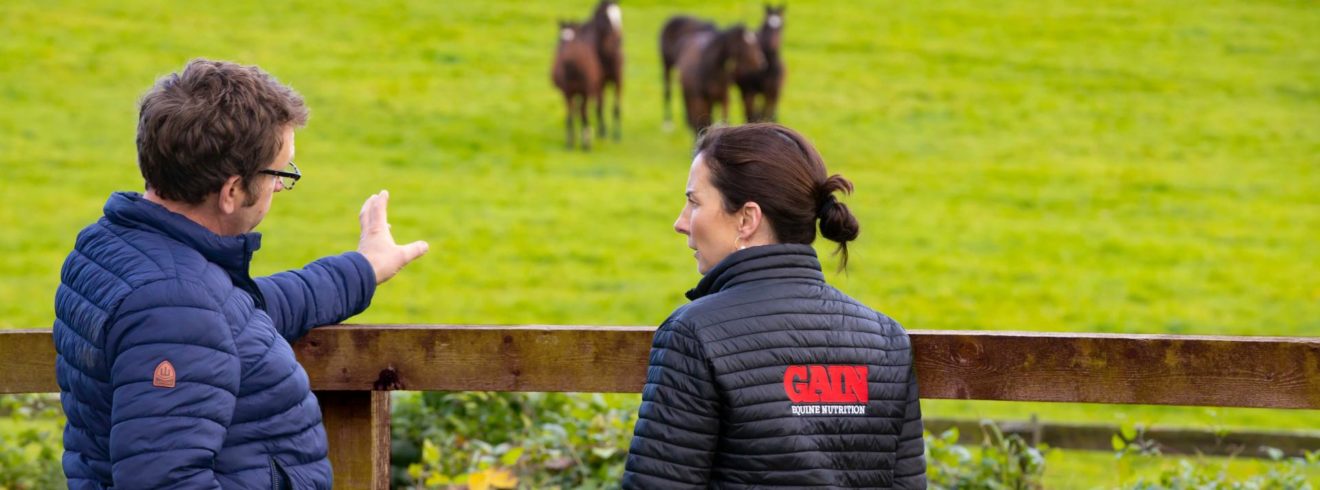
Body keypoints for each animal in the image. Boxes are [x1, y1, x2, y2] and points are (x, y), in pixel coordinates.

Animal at [551, 21, 604, 150]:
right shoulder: (574, 92)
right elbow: (576, 113)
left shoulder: (577, 92)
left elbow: (577, 113)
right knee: (579, 112)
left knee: (578, 112)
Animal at [580, 0, 620, 141]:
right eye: (606, 17)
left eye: (619, 16)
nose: (618, 41)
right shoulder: (599, 84)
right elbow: (600, 106)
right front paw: (602, 131)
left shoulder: (618, 80)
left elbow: (616, 107)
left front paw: (617, 135)